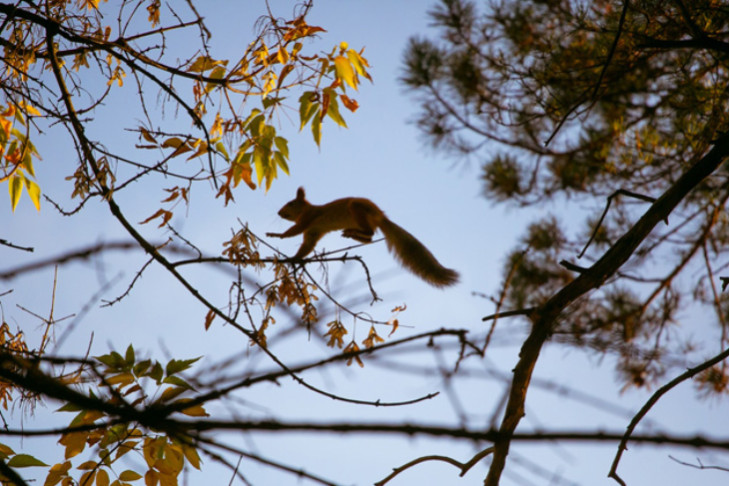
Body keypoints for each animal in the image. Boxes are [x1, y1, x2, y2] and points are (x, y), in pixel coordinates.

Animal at [264, 186, 458, 284]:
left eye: (291, 203)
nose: (279, 212)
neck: (307, 209)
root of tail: (380, 216)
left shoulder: (308, 219)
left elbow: (294, 231)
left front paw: (276, 235)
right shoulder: (313, 232)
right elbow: (307, 246)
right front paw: (295, 258)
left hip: (356, 208)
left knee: (370, 232)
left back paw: (355, 234)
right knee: (370, 238)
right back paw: (353, 235)